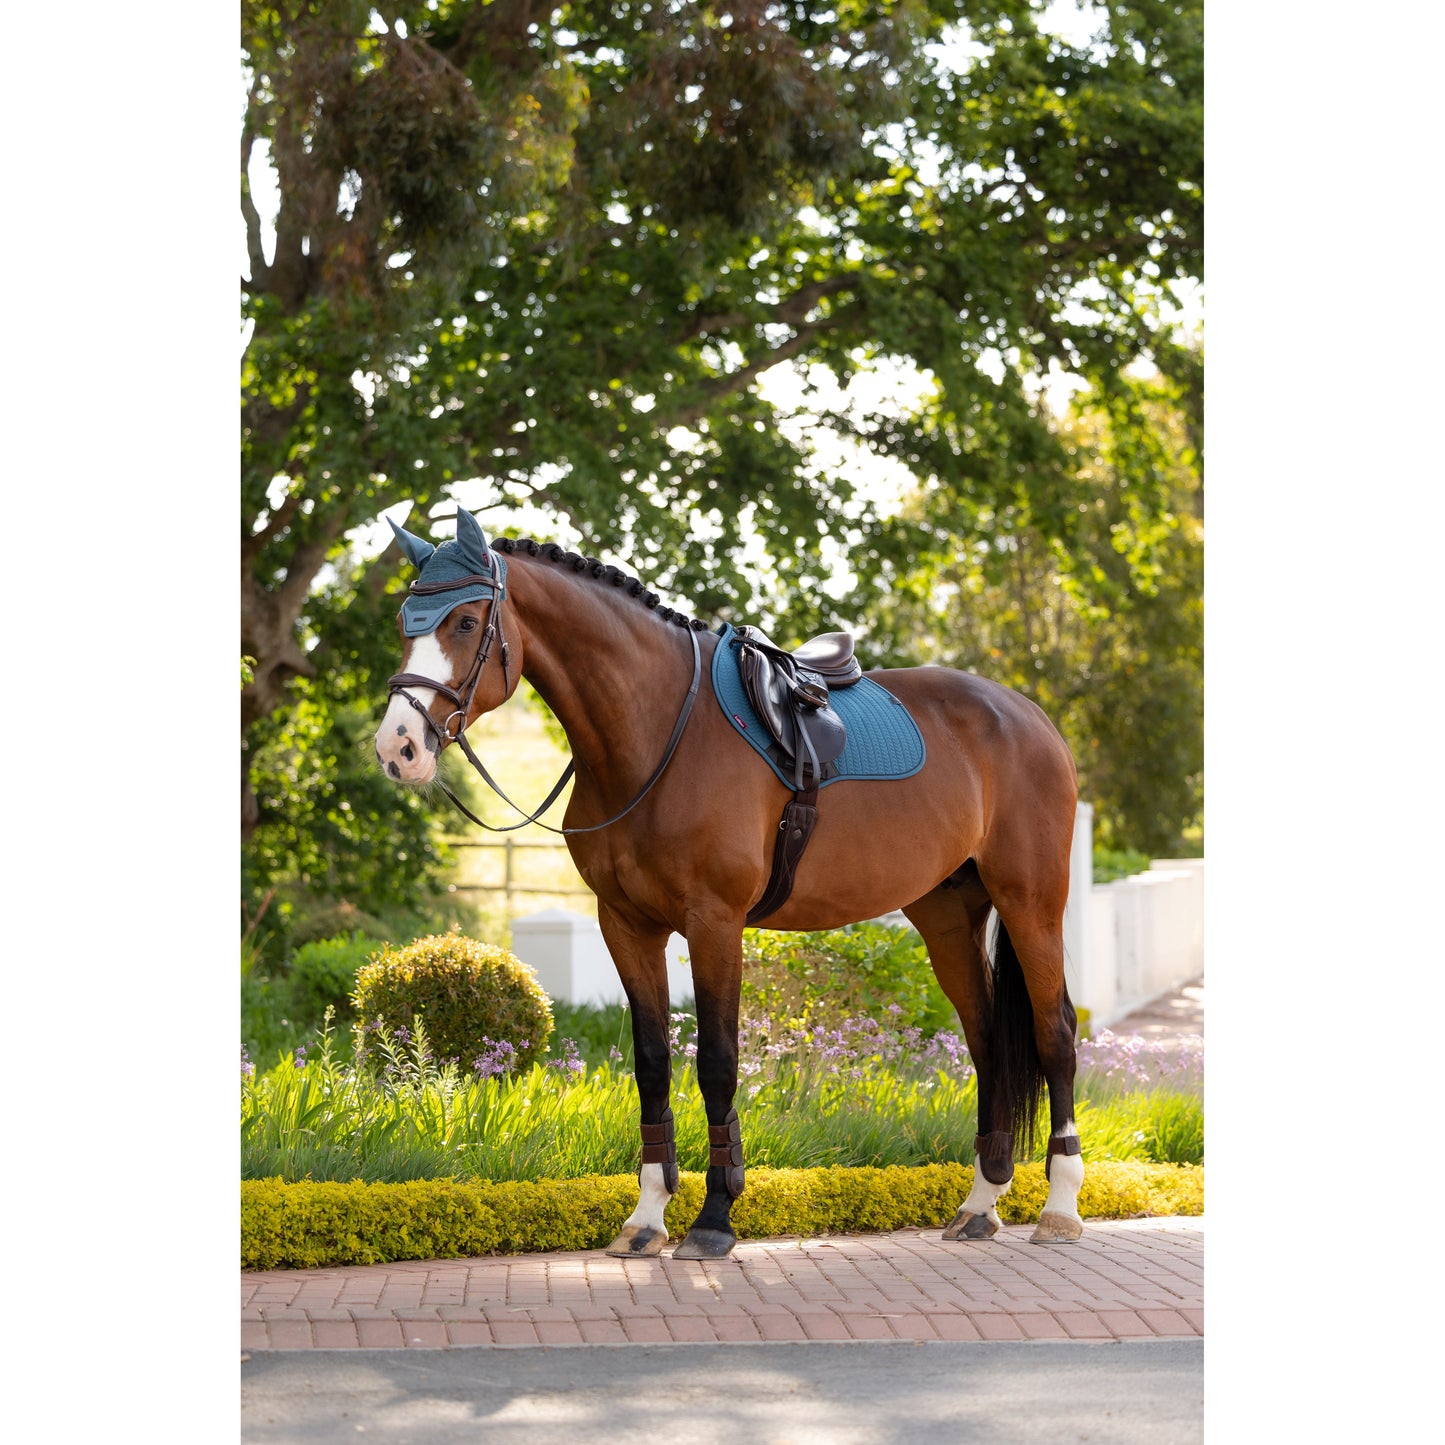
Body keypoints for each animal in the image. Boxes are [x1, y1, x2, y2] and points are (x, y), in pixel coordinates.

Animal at [373, 505, 1086, 1259]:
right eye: (406, 621)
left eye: (465, 623)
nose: (398, 748)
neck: (658, 732)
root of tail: (1028, 716)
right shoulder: (626, 924)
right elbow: (652, 1061)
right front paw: (647, 1216)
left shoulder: (714, 922)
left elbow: (716, 1060)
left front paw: (714, 1216)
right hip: (947, 916)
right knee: (987, 1040)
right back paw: (980, 1202)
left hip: (1031, 903)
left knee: (1054, 1033)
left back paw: (1059, 1207)